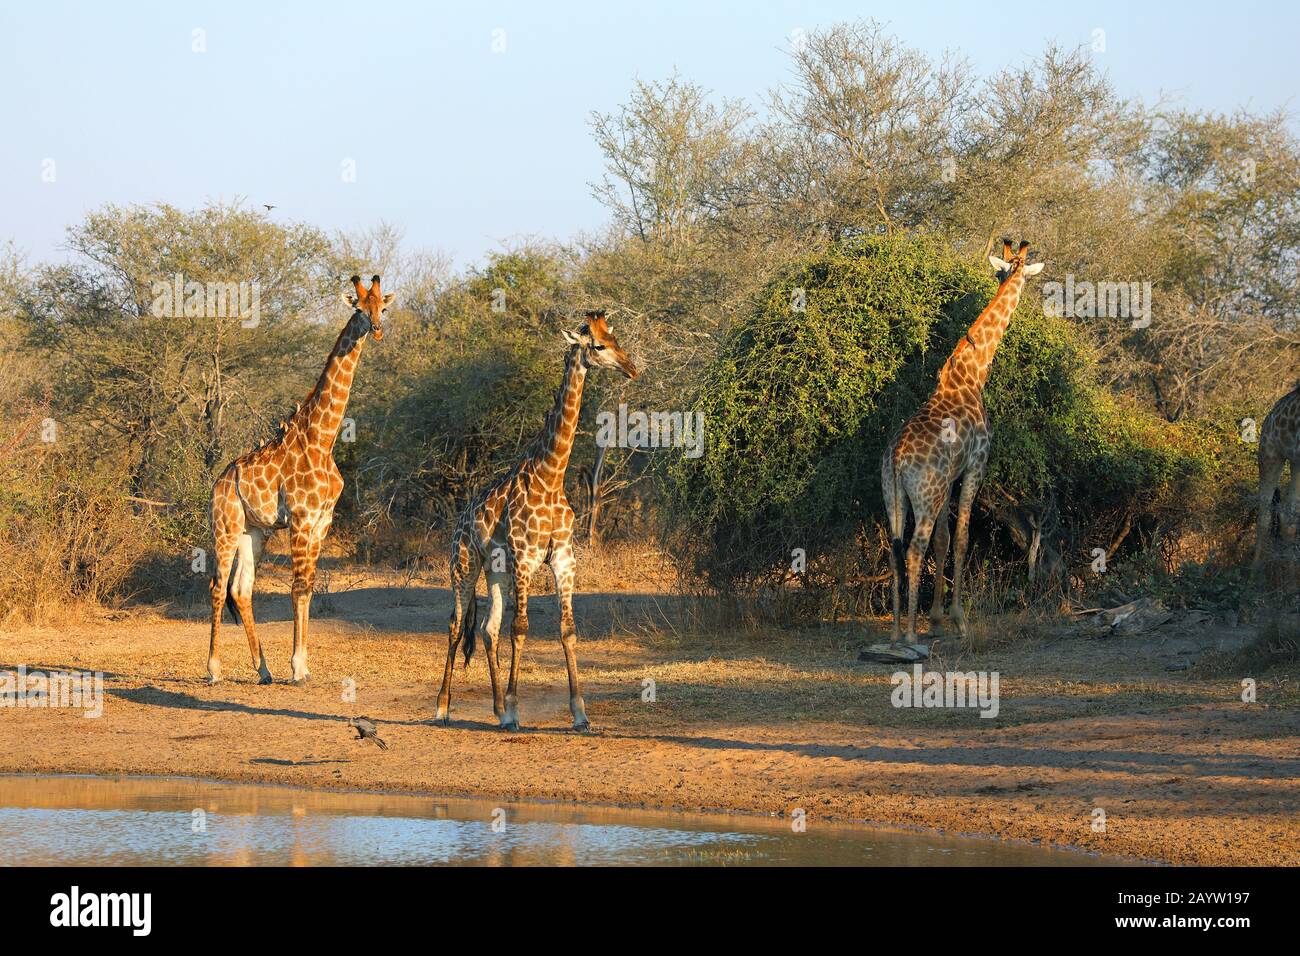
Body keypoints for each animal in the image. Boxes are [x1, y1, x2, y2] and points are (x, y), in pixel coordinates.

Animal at [202, 273, 392, 686]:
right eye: (359, 307)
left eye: (382, 307)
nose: (376, 329)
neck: (323, 438)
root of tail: (218, 484)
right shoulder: (302, 519)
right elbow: (297, 587)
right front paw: (297, 666)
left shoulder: (322, 521)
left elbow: (307, 589)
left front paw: (301, 664)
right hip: (225, 526)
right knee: (217, 585)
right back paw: (213, 669)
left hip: (253, 532)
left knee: (241, 589)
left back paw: (263, 670)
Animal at [436, 312, 639, 733]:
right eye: (598, 345)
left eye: (615, 338)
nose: (631, 369)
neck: (551, 475)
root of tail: (459, 519)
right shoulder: (525, 558)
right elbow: (521, 629)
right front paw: (516, 710)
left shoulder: (563, 557)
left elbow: (567, 630)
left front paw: (579, 713)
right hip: (463, 564)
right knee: (455, 624)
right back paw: (444, 707)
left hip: (495, 570)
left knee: (487, 629)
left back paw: (497, 710)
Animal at [878, 239, 1040, 647]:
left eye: (1002, 272)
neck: (973, 374)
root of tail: (897, 457)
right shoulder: (975, 465)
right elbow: (962, 539)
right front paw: (958, 620)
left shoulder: (950, 478)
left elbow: (943, 539)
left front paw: (936, 619)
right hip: (926, 494)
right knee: (914, 548)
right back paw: (910, 636)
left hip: (893, 494)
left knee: (896, 547)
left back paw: (895, 631)